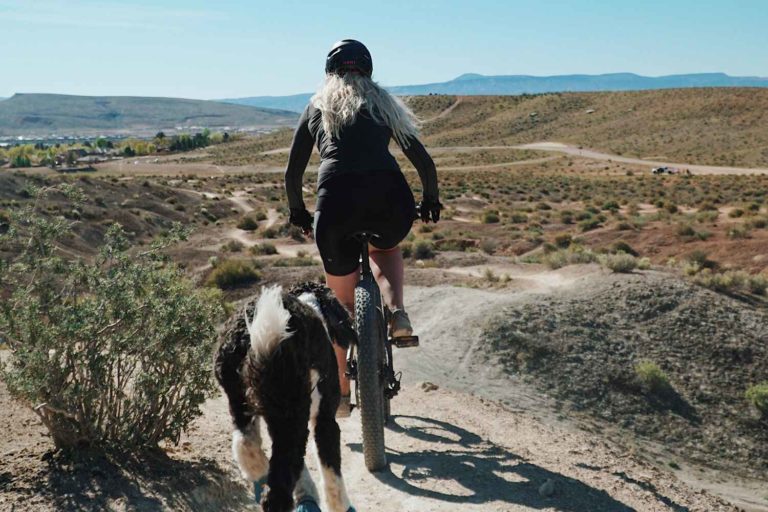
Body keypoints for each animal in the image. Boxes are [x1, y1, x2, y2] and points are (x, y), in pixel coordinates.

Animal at [214, 282, 358, 510]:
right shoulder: (325, 419)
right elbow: (331, 472)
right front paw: (341, 506)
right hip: (292, 412)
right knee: (277, 491)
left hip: (242, 401)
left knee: (245, 445)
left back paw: (260, 471)